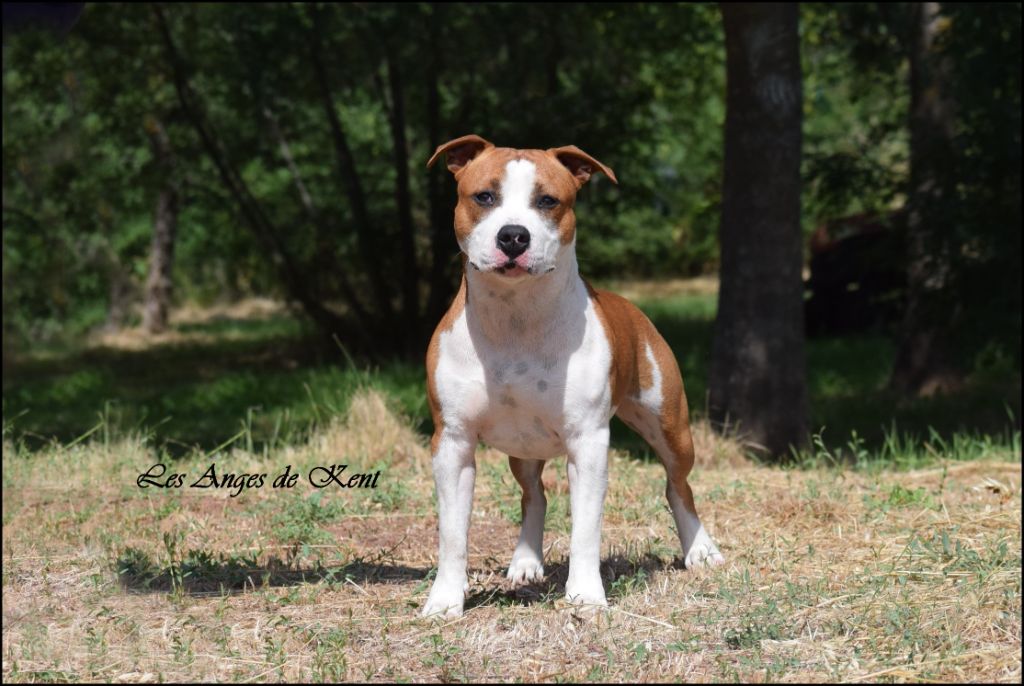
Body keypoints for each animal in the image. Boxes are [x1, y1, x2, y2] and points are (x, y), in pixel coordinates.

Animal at [419, 134, 724, 618]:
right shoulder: (452, 442)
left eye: (548, 201)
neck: (517, 317)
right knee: (534, 495)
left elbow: (585, 529)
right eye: (484, 197)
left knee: (679, 487)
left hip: (671, 427)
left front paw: (585, 595)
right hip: (523, 448)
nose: (513, 235)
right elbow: (452, 534)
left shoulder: (588, 442)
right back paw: (526, 562)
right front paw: (446, 599)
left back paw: (700, 549)